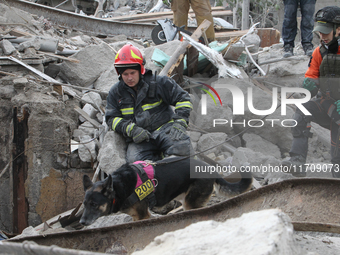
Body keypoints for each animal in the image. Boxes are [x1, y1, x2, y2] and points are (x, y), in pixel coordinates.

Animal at [79, 157, 250, 225]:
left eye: (94, 204)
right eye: (85, 204)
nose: (81, 222)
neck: (120, 187)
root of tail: (210, 169)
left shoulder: (142, 216)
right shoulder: (136, 217)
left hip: (191, 204)